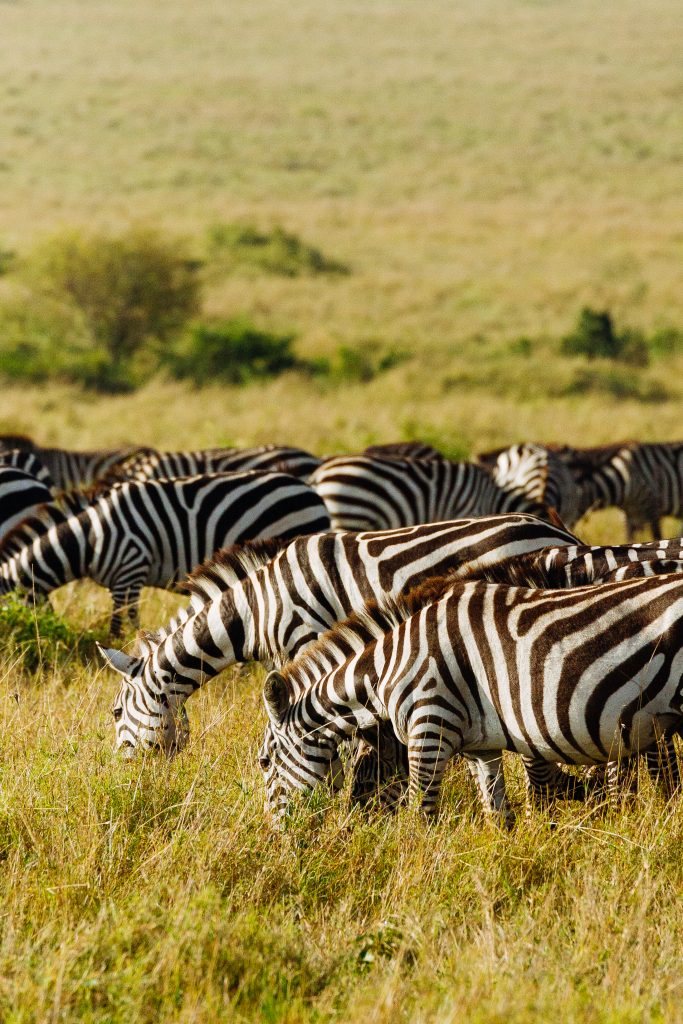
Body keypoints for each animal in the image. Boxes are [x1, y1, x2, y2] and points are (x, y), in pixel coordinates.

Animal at [0, 468, 331, 630]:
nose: (41, 630)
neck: (89, 538)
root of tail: (310, 491)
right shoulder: (122, 581)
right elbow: (130, 618)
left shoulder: (130, 568)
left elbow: (120, 621)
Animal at [259, 577, 683, 823]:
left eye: (264, 761)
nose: (275, 837)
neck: (386, 668)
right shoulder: (482, 749)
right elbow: (498, 815)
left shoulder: (429, 728)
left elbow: (421, 817)